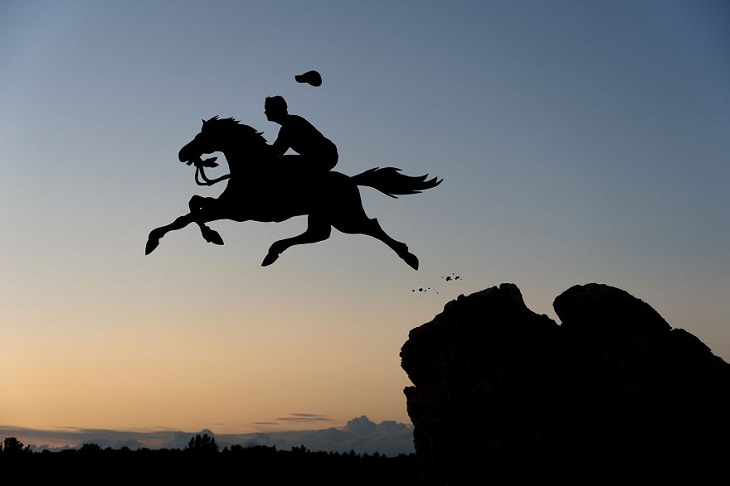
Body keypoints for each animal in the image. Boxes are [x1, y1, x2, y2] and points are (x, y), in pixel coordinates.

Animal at [143, 117, 438, 270]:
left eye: (202, 136)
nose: (182, 153)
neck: (250, 168)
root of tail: (351, 180)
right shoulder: (226, 206)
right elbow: (192, 207)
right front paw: (155, 240)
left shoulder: (235, 211)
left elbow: (192, 216)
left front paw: (210, 236)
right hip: (323, 216)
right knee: (318, 235)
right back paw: (272, 252)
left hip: (346, 217)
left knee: (371, 227)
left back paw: (409, 257)